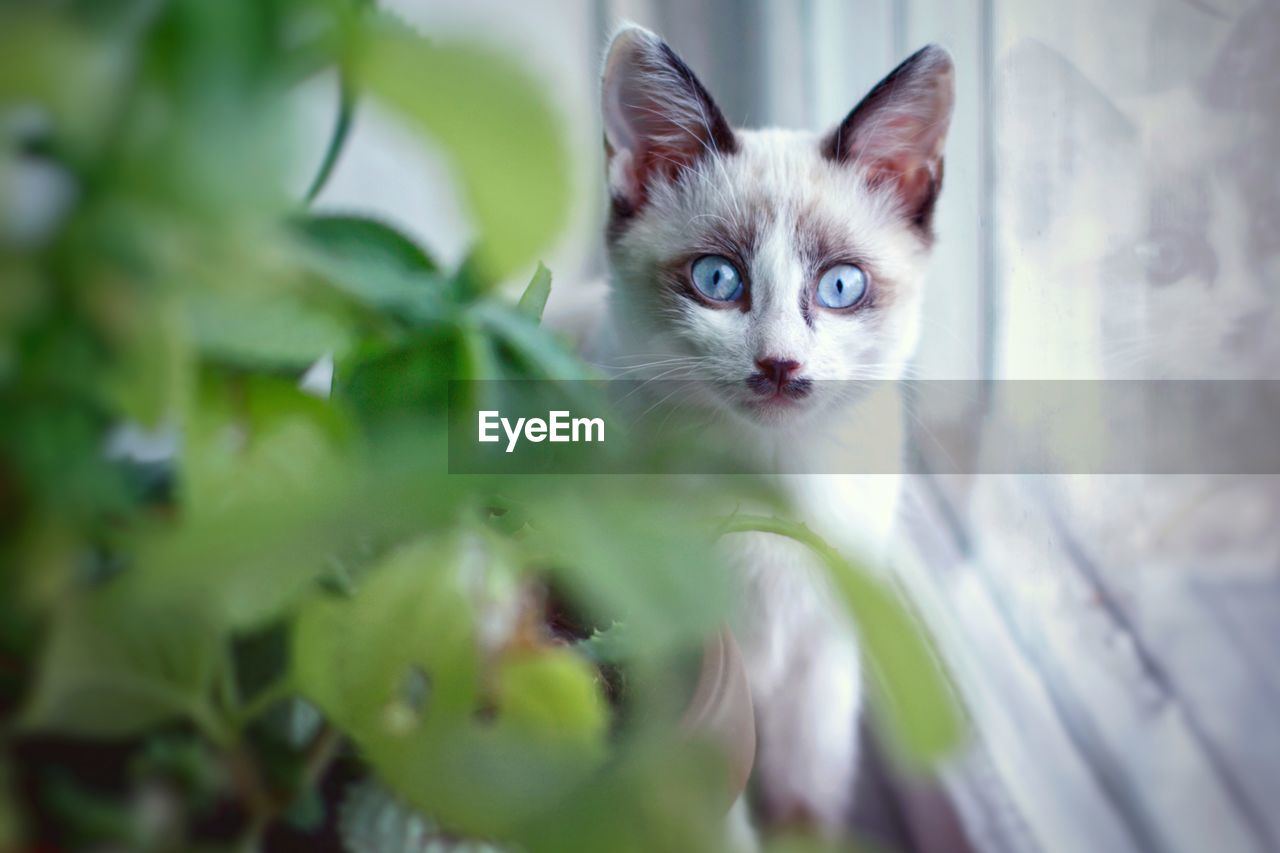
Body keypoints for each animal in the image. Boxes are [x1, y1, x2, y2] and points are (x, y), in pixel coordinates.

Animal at [588, 24, 952, 829]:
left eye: (841, 286)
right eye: (718, 279)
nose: (780, 364)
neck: (770, 484)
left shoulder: (825, 660)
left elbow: (804, 807)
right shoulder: (688, 680)